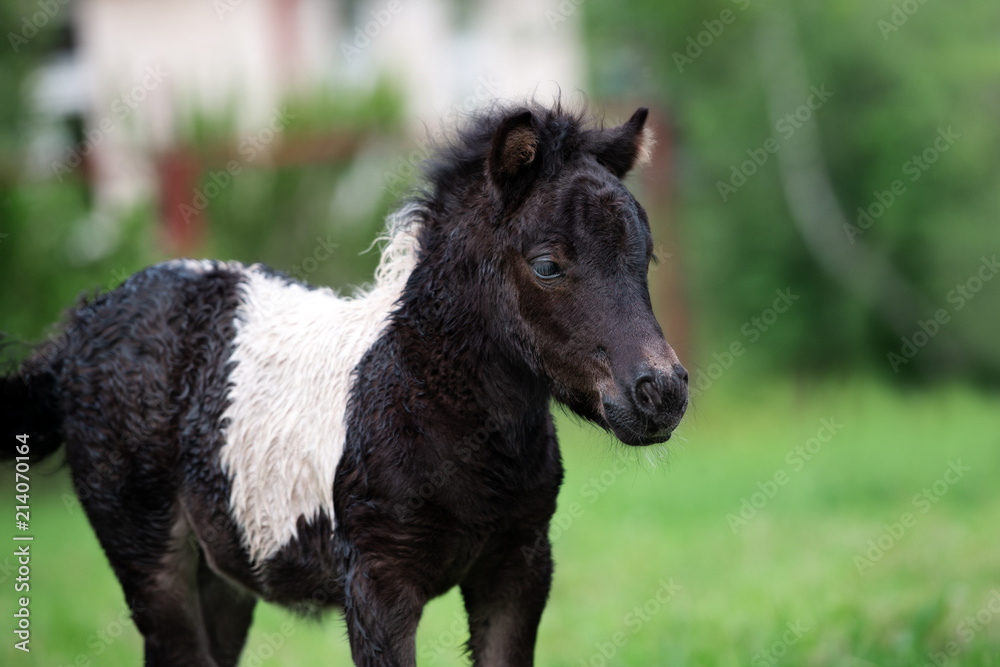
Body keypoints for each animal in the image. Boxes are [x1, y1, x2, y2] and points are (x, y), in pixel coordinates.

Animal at [1, 104, 688, 664]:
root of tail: (83, 326)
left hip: (220, 575)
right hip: (148, 558)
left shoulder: (517, 569)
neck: (426, 400)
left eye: (646, 255)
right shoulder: (376, 586)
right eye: (547, 265)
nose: (662, 393)